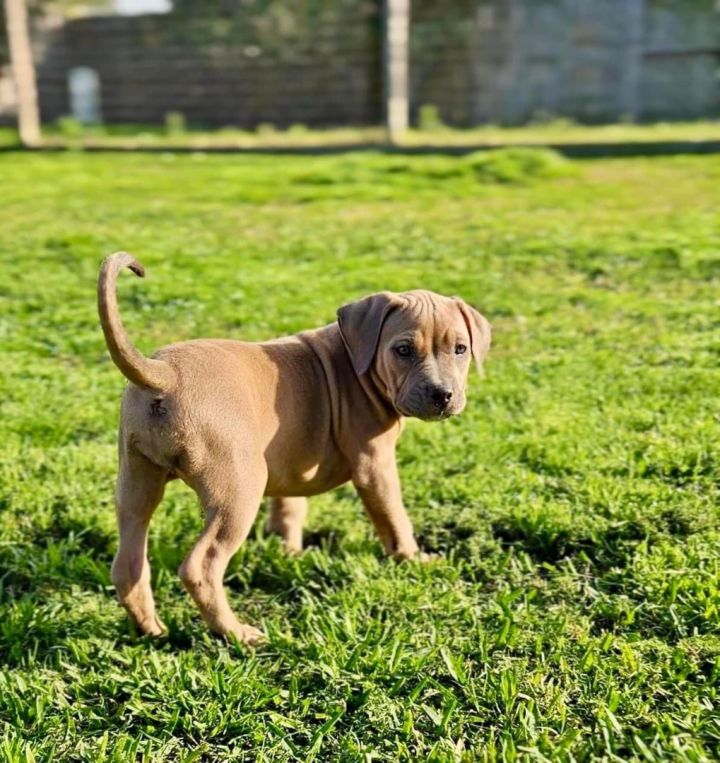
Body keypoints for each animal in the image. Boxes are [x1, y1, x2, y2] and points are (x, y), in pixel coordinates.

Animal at [98, 254, 490, 640]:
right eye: (403, 350)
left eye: (460, 349)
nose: (443, 395)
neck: (356, 361)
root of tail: (164, 373)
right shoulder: (375, 466)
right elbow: (394, 517)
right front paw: (412, 558)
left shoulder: (289, 457)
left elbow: (289, 506)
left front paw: (287, 550)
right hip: (237, 490)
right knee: (200, 567)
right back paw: (236, 633)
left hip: (136, 479)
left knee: (128, 562)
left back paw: (150, 629)